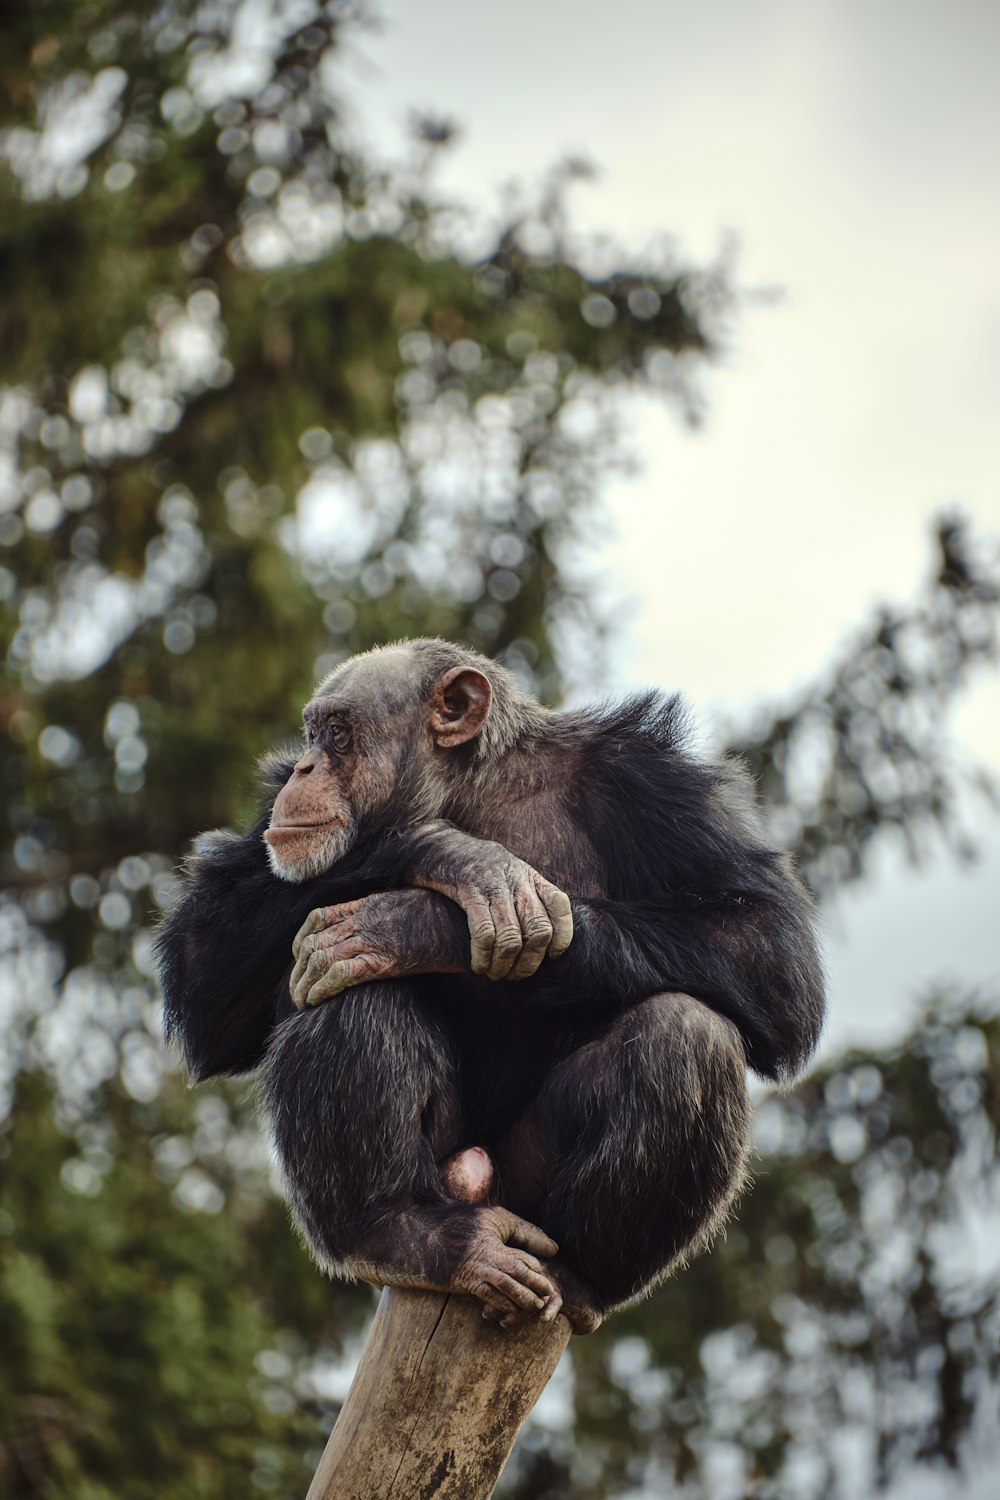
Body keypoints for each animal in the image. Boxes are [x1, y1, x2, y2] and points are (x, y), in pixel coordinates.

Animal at [158, 639, 827, 1332]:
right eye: (311, 734)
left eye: (339, 734)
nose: (306, 767)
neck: (475, 788)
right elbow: (202, 973)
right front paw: (446, 851)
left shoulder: (659, 781)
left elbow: (768, 946)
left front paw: (414, 924)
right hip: (451, 1183)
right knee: (346, 988)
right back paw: (397, 1232)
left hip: (528, 1201)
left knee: (687, 1033)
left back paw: (581, 1277)